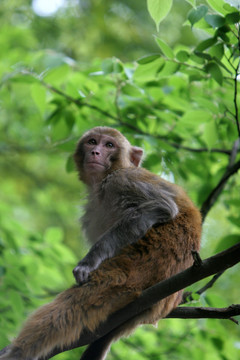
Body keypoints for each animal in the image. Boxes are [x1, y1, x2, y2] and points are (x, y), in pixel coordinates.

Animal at [0, 127, 202, 360]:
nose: (95, 152)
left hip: (143, 261)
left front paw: (89, 262)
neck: (105, 179)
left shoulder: (124, 180)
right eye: (92, 142)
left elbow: (162, 207)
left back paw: (17, 352)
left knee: (76, 301)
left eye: (109, 145)